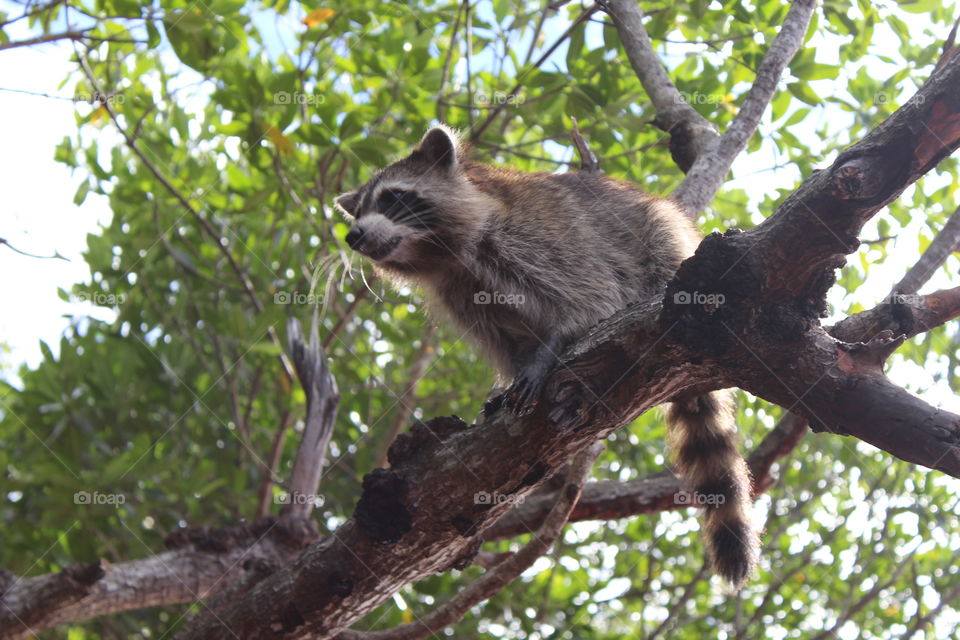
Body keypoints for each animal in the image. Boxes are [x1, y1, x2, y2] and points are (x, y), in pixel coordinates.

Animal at [334, 124, 760, 584]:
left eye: (392, 198)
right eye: (358, 211)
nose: (353, 236)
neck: (440, 252)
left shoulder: (535, 233)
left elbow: (592, 300)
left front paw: (550, 349)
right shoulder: (459, 289)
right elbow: (506, 340)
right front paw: (515, 371)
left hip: (667, 245)